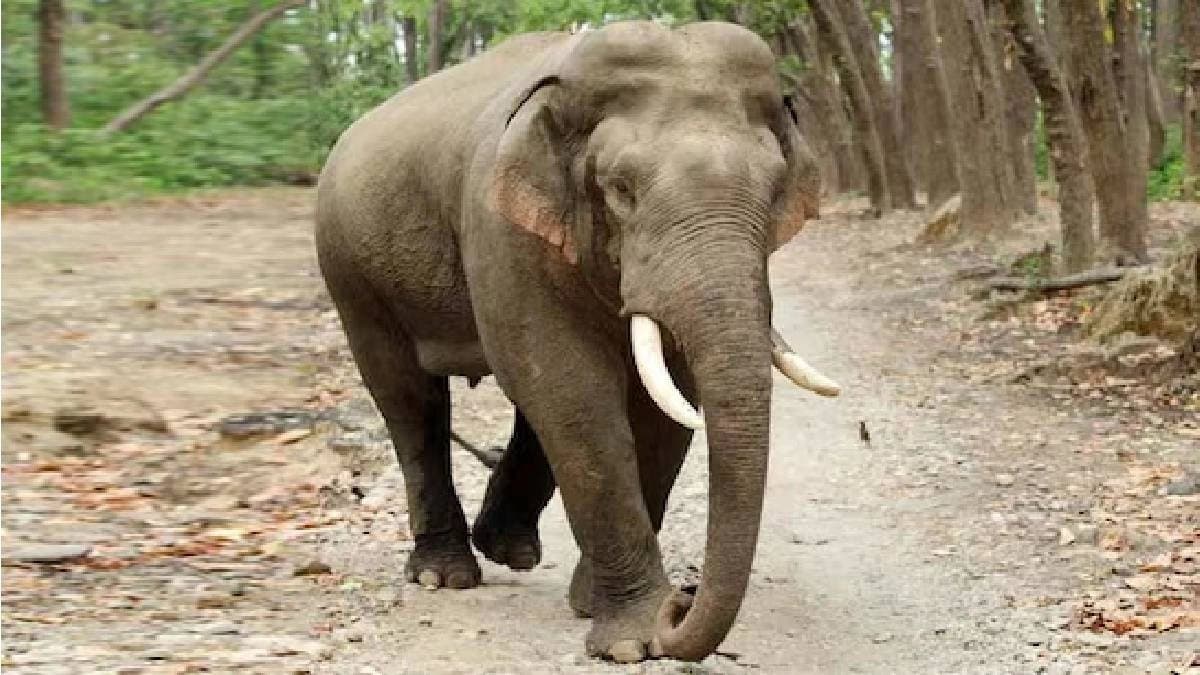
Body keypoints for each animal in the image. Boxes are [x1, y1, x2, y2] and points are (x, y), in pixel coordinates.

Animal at [315, 20, 840, 663]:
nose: (683, 603)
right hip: (350, 271)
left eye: (772, 192)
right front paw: (633, 641)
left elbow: (661, 405)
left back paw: (508, 549)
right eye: (620, 189)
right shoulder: (501, 229)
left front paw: (602, 610)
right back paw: (445, 575)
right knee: (411, 401)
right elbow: (575, 391)